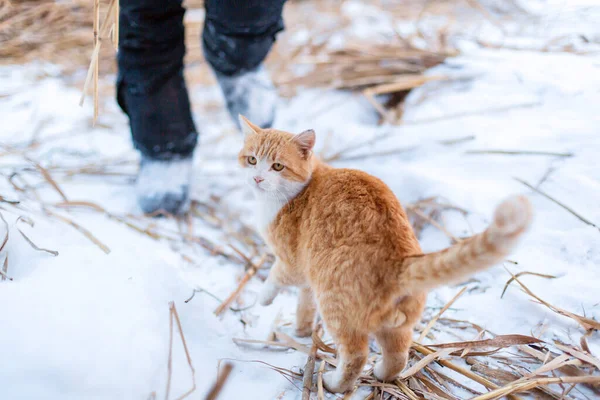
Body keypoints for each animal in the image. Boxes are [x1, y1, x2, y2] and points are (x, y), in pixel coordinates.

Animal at [237, 115, 532, 394]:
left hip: (336, 308)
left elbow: (275, 276)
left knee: (355, 355)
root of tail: (399, 260)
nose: (257, 178)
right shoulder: (309, 276)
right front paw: (300, 330)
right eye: (252, 160)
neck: (300, 190)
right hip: (396, 325)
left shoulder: (292, 262)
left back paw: (334, 383)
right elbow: (304, 304)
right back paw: (382, 373)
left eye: (277, 166)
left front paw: (264, 298)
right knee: (398, 354)